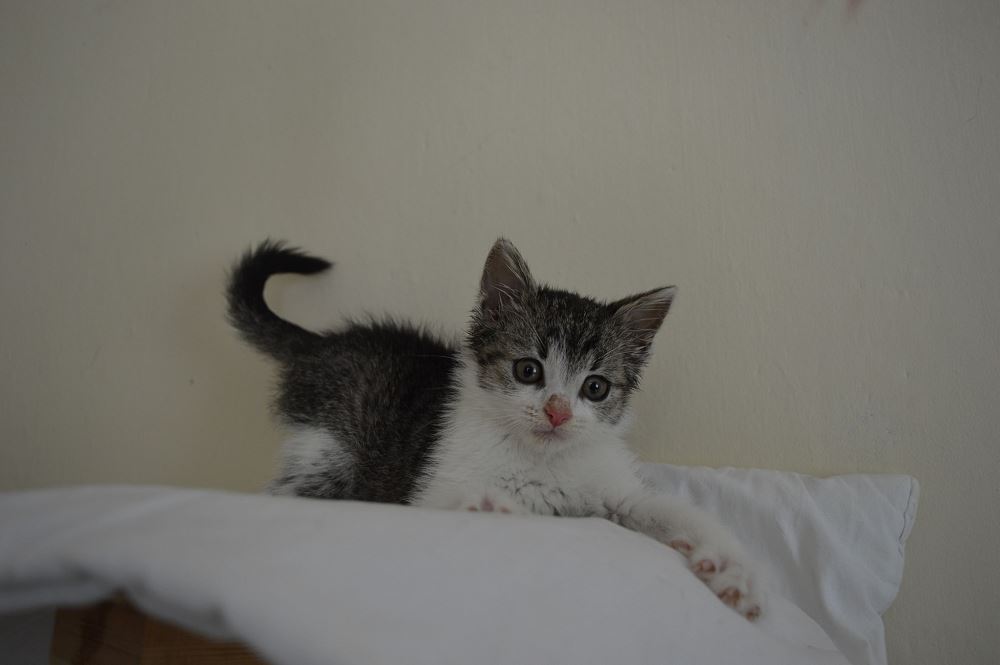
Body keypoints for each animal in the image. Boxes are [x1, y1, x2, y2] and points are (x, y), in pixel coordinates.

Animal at [227, 238, 763, 620]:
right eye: (528, 370)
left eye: (595, 388)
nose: (557, 412)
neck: (539, 457)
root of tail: (319, 345)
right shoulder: (433, 484)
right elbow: (458, 504)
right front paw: (494, 507)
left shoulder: (617, 491)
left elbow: (671, 510)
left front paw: (731, 570)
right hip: (329, 449)